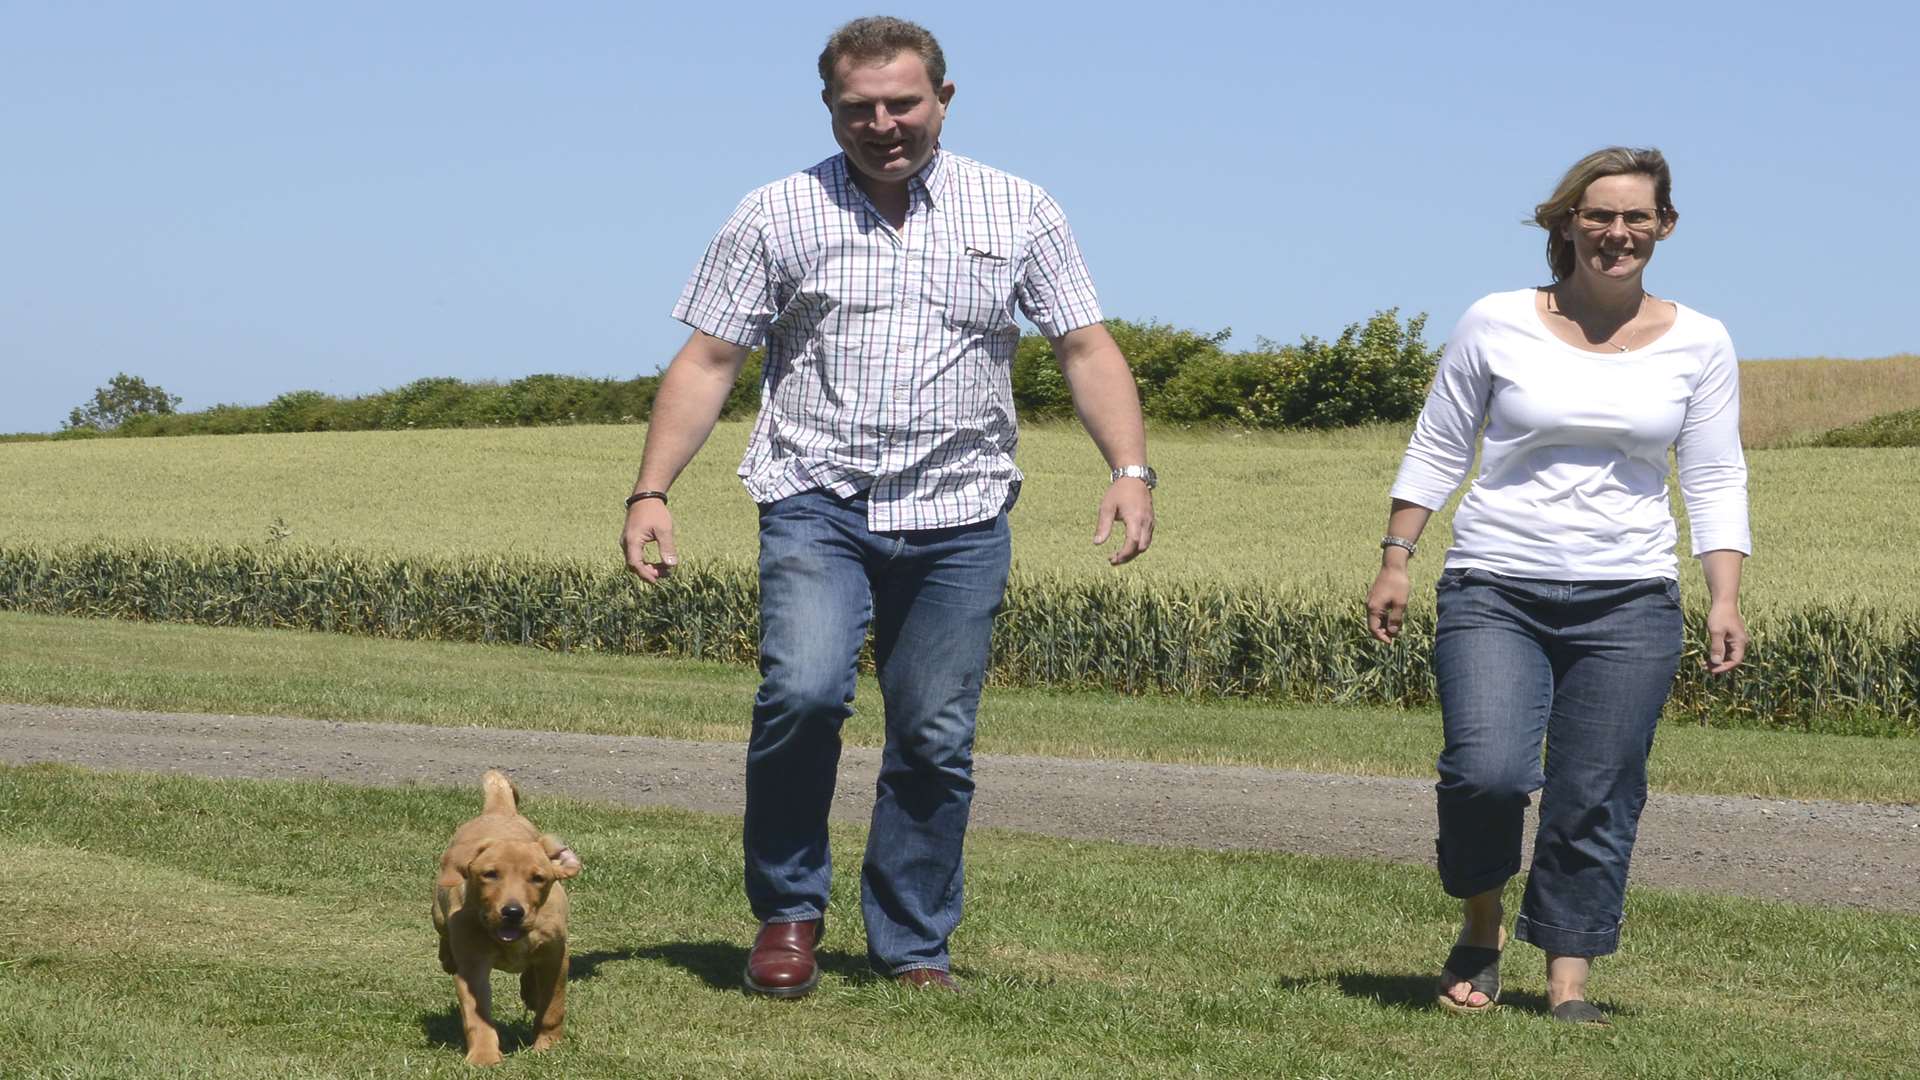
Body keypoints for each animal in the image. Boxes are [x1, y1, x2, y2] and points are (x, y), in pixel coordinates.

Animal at [432, 768, 579, 1060]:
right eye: (490, 874)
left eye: (538, 878)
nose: (512, 912)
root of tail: (499, 811)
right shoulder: (473, 966)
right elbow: (477, 1017)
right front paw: (484, 1057)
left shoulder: (556, 955)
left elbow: (552, 1008)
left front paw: (548, 1047)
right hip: (439, 911)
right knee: (444, 931)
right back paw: (447, 957)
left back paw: (531, 992)